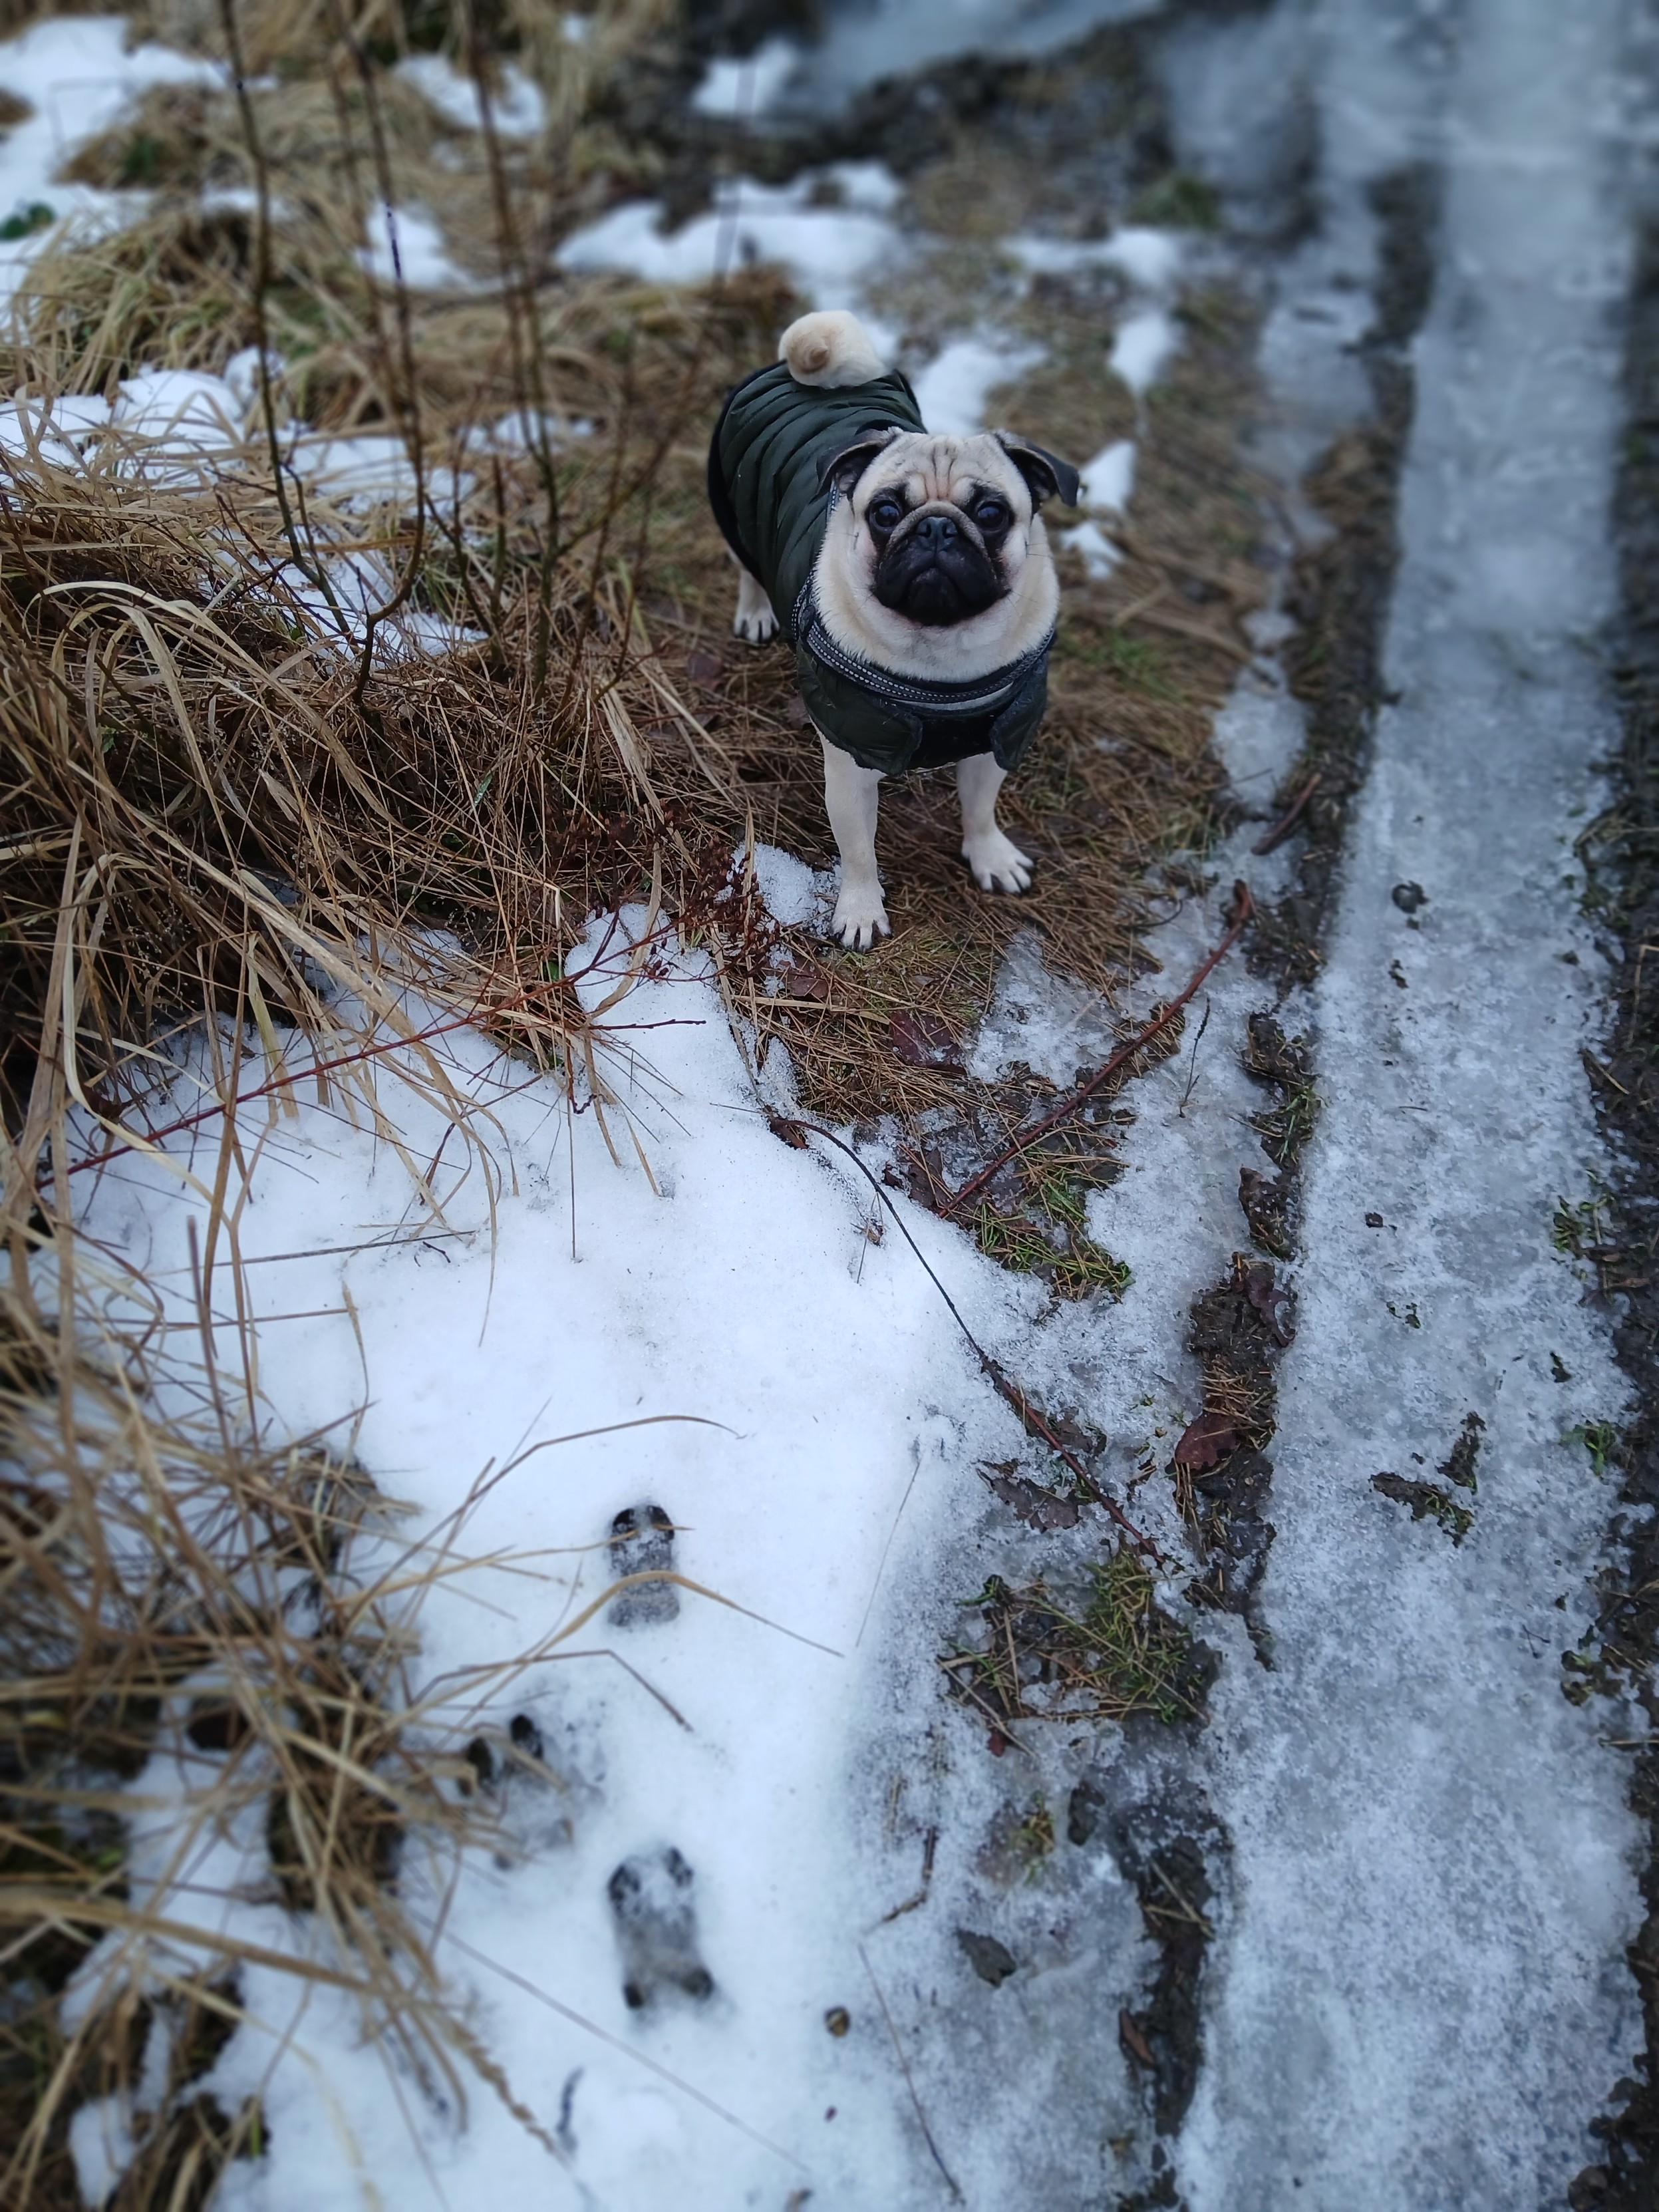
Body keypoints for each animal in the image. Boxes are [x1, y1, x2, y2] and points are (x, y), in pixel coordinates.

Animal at [707, 309, 1078, 949]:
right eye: (885, 512)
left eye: (991, 514)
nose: (936, 527)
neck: (940, 653)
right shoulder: (851, 766)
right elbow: (859, 851)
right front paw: (860, 910)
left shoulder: (994, 743)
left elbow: (980, 810)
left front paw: (989, 856)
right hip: (734, 510)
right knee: (749, 568)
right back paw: (756, 612)